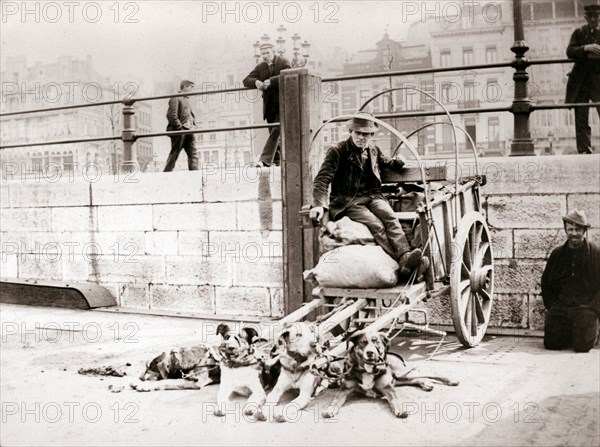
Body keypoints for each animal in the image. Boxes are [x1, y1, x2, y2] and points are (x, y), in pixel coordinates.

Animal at [322, 328, 458, 420]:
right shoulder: (344, 389)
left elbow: (394, 399)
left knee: (428, 373)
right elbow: (335, 400)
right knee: (417, 378)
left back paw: (450, 380)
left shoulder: (388, 387)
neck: (367, 370)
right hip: (399, 378)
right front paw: (330, 409)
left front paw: (400, 409)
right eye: (363, 342)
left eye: (376, 342)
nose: (370, 352)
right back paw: (426, 383)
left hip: (401, 372)